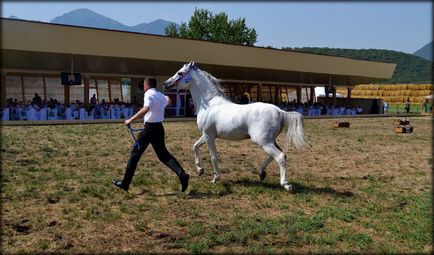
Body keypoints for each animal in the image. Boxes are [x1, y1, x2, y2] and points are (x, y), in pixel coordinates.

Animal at [163, 61, 306, 191]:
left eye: (180, 73)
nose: (165, 84)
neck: (210, 104)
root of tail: (280, 111)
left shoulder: (209, 136)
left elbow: (213, 157)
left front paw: (215, 178)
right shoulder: (206, 135)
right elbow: (195, 146)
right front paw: (200, 170)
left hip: (263, 141)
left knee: (280, 157)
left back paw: (286, 184)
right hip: (269, 141)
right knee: (279, 154)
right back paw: (261, 173)